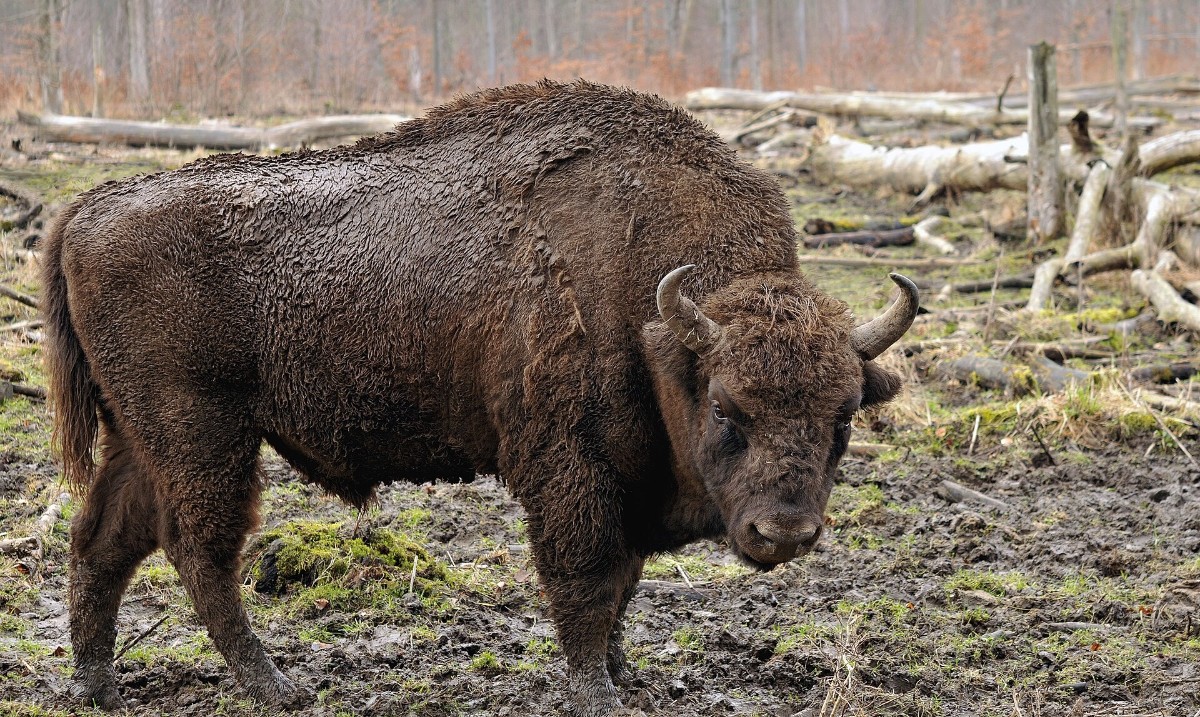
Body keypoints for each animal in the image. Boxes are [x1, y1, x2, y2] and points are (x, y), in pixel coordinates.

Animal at [43, 80, 917, 715]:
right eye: (729, 408)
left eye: (844, 416)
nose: (785, 531)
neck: (656, 318)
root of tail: (89, 205)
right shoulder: (571, 468)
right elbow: (587, 577)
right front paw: (596, 693)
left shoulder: (628, 478)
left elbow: (623, 582)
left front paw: (624, 673)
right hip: (203, 434)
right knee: (198, 549)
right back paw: (276, 686)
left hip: (139, 436)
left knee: (102, 539)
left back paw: (97, 685)